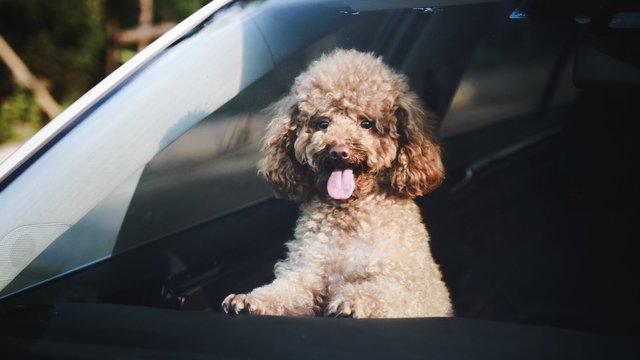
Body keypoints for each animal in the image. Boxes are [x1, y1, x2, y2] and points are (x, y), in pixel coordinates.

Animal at [222, 48, 452, 318]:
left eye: (366, 123)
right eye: (323, 124)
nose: (338, 152)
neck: (349, 214)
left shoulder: (408, 288)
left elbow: (380, 293)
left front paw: (351, 302)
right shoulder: (305, 272)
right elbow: (284, 291)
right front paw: (249, 300)